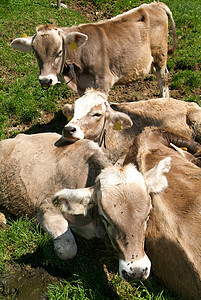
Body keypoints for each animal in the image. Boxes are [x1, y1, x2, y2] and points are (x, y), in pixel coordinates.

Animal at [11, 1, 176, 97]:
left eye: (59, 51)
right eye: (35, 53)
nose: (45, 80)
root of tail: (154, 4)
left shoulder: (103, 84)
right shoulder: (82, 87)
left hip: (160, 54)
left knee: (163, 78)